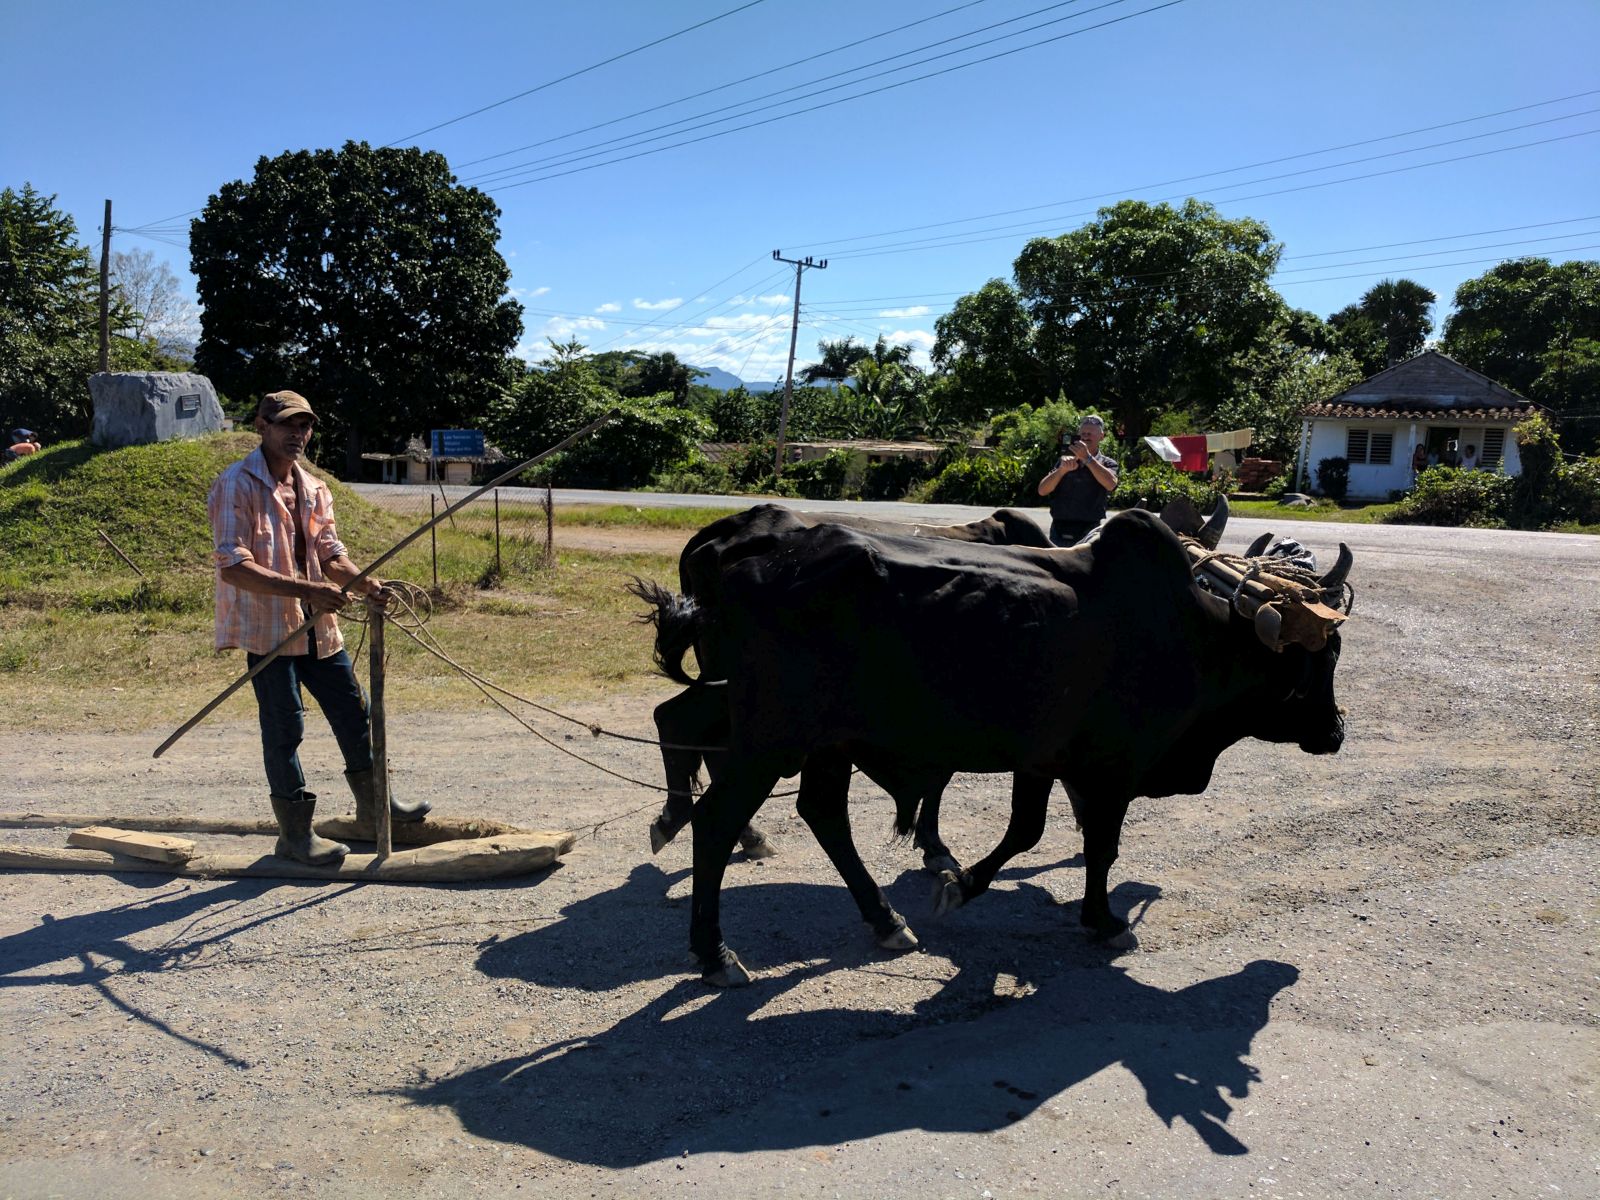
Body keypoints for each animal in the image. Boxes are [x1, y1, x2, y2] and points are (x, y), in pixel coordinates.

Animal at [634, 507, 1351, 986]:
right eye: (1320, 659)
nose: (1337, 731)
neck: (1192, 634)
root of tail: (735, 559)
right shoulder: (1112, 766)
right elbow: (1096, 844)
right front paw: (1102, 920)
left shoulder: (1044, 759)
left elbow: (1030, 831)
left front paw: (961, 880)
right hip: (771, 740)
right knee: (715, 818)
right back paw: (714, 950)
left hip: (823, 742)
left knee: (821, 812)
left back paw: (884, 919)